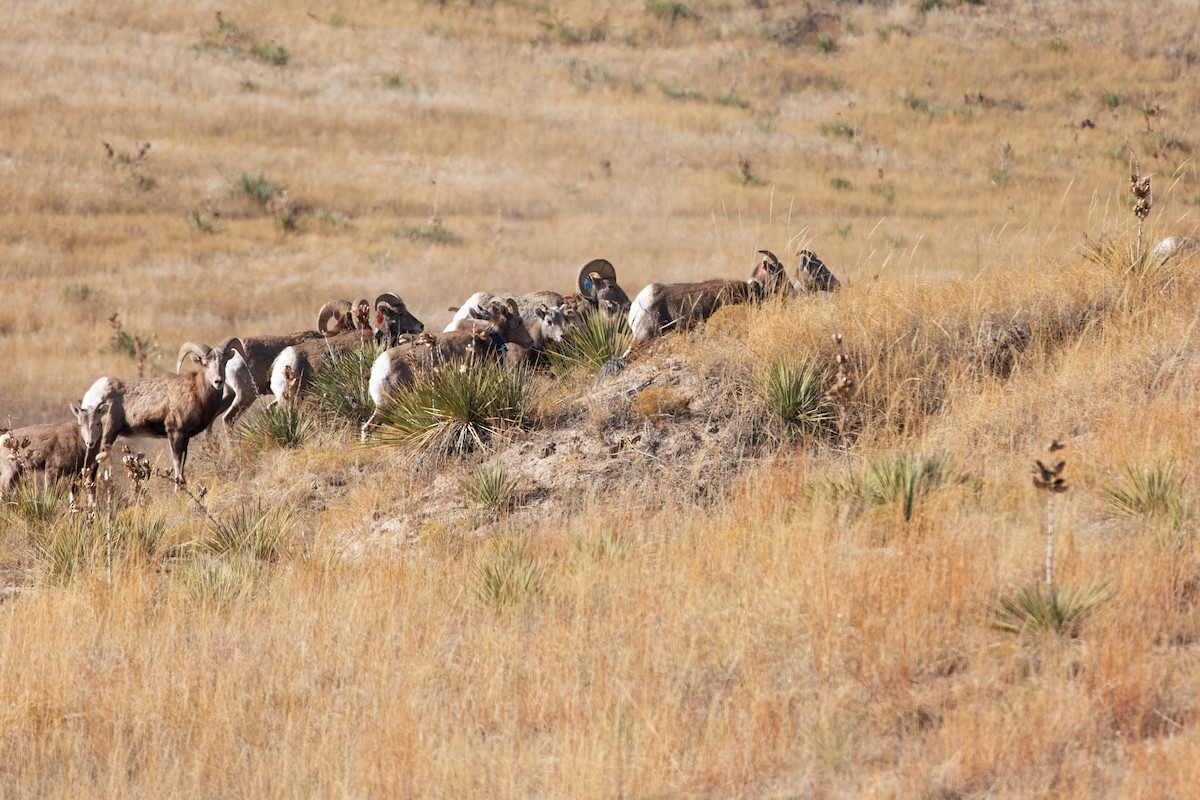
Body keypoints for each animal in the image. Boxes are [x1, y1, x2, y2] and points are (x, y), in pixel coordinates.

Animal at [70, 338, 246, 486]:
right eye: (205, 363)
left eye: (224, 362)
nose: (218, 381)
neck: (195, 393)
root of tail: (94, 392)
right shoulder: (175, 433)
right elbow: (177, 467)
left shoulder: (185, 438)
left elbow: (182, 466)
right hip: (106, 436)